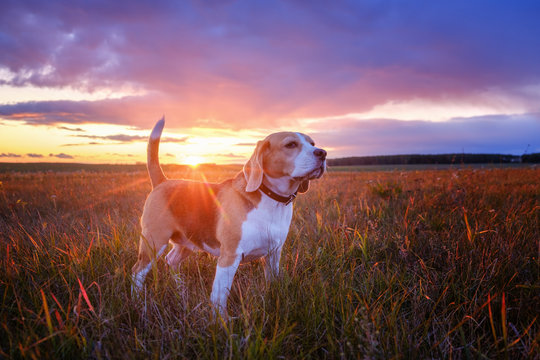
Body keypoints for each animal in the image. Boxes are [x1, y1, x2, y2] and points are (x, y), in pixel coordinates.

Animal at [132, 117, 324, 316]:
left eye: (312, 143)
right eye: (291, 144)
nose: (323, 153)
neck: (272, 200)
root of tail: (163, 182)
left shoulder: (273, 254)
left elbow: (272, 283)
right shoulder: (229, 257)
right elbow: (219, 297)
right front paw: (221, 321)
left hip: (187, 242)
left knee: (171, 260)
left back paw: (180, 290)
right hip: (153, 243)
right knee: (137, 272)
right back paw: (138, 303)